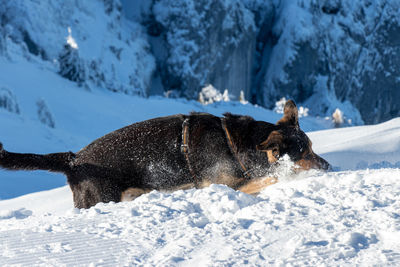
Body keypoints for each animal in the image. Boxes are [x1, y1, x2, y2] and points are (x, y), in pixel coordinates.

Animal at [0, 100, 328, 209]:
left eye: (313, 147)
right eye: (305, 152)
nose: (327, 166)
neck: (237, 145)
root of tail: (73, 159)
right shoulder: (222, 184)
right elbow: (268, 180)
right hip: (100, 200)